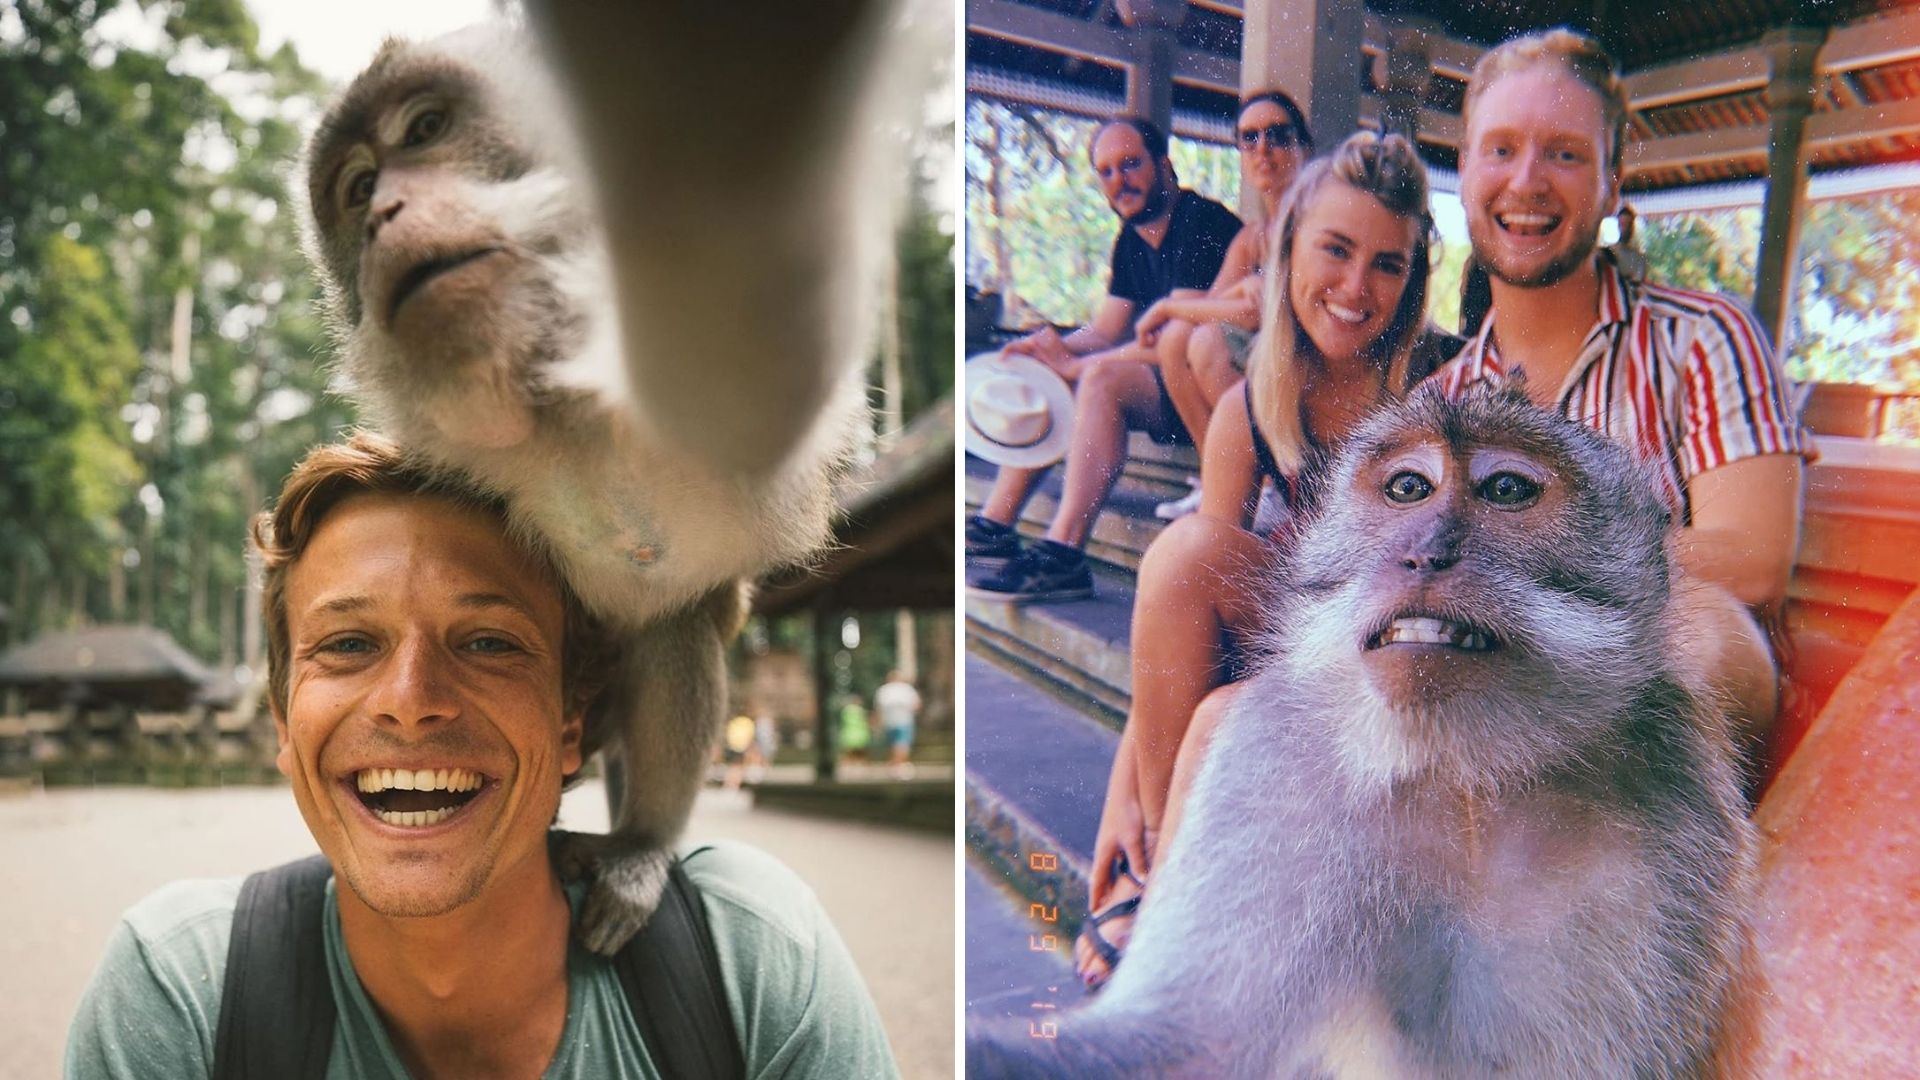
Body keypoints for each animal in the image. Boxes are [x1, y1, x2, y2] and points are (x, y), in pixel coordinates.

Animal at [291, 6, 906, 949]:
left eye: (425, 130)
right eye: (357, 189)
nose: (383, 214)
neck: (553, 403)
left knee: (673, 634)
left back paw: (642, 842)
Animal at [975, 382, 1758, 1068]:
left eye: (1507, 489)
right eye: (1408, 489)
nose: (1424, 553)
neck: (1468, 777)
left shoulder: (1674, 799)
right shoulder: (1273, 764)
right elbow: (1190, 1043)